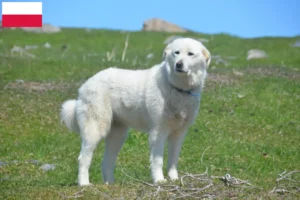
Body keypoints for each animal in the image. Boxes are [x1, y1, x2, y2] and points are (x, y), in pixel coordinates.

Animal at [60, 38, 211, 186]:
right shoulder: (158, 132)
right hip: (95, 129)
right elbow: (158, 160)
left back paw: (110, 184)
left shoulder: (179, 133)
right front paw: (159, 180)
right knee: (83, 158)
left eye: (190, 54)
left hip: (118, 135)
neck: (177, 87)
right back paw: (84, 184)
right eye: (176, 53)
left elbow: (173, 159)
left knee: (107, 161)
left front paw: (174, 178)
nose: (179, 64)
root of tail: (86, 84)